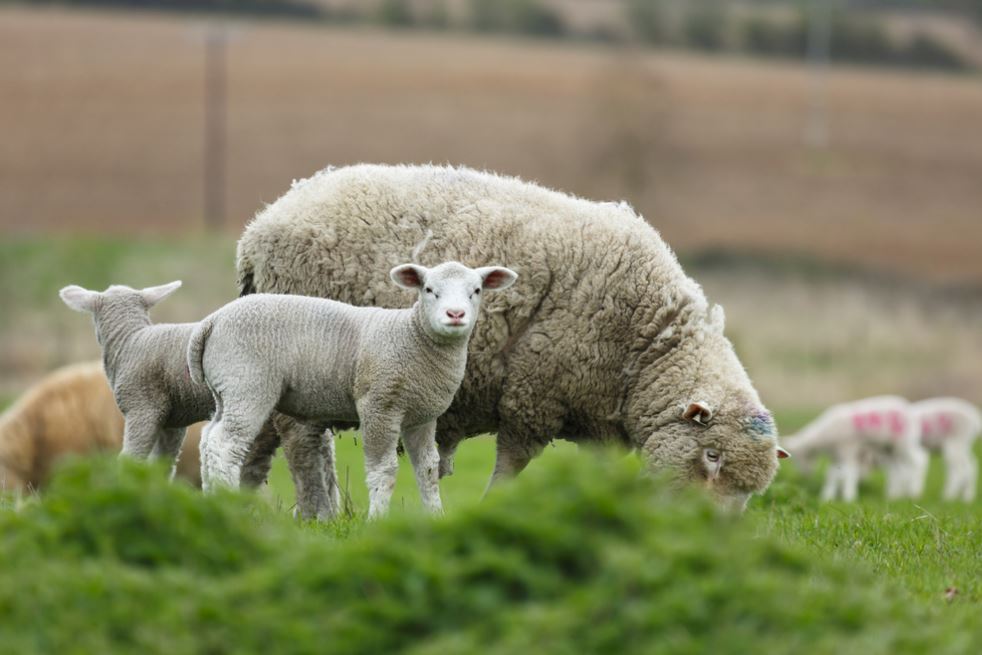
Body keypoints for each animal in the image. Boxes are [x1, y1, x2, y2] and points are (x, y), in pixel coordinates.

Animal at [187, 260, 520, 516]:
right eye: (429, 290)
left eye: (476, 291)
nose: (455, 315)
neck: (413, 337)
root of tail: (212, 322)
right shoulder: (379, 405)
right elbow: (384, 471)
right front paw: (377, 520)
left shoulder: (423, 417)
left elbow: (428, 470)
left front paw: (436, 516)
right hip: (247, 384)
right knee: (225, 445)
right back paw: (225, 503)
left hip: (225, 391)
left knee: (207, 440)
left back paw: (212, 501)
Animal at [234, 161, 788, 510]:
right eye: (711, 456)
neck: (645, 344)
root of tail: (260, 228)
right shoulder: (532, 398)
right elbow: (509, 469)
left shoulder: (597, 421)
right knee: (303, 445)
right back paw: (318, 514)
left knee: (256, 438)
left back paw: (243, 510)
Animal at [780, 394, 928, 502]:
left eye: (800, 456)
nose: (806, 474)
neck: (824, 435)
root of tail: (909, 410)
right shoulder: (836, 454)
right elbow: (831, 474)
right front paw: (827, 496)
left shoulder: (848, 447)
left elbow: (850, 473)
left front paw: (848, 496)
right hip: (888, 448)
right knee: (895, 469)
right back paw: (893, 495)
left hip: (904, 440)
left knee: (919, 460)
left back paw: (914, 492)